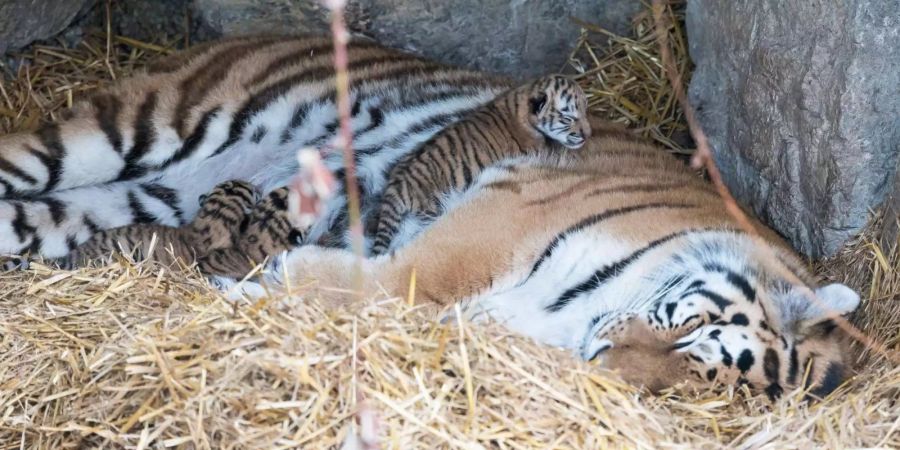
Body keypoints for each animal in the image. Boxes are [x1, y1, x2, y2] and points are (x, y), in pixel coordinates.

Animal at [216, 118, 856, 398]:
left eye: (693, 386)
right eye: (691, 332)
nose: (601, 359)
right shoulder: (502, 220)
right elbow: (402, 283)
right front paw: (277, 274)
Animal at [370, 75, 592, 255]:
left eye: (586, 110)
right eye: (568, 117)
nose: (587, 134)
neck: (524, 97)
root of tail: (396, 184)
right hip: (431, 209)